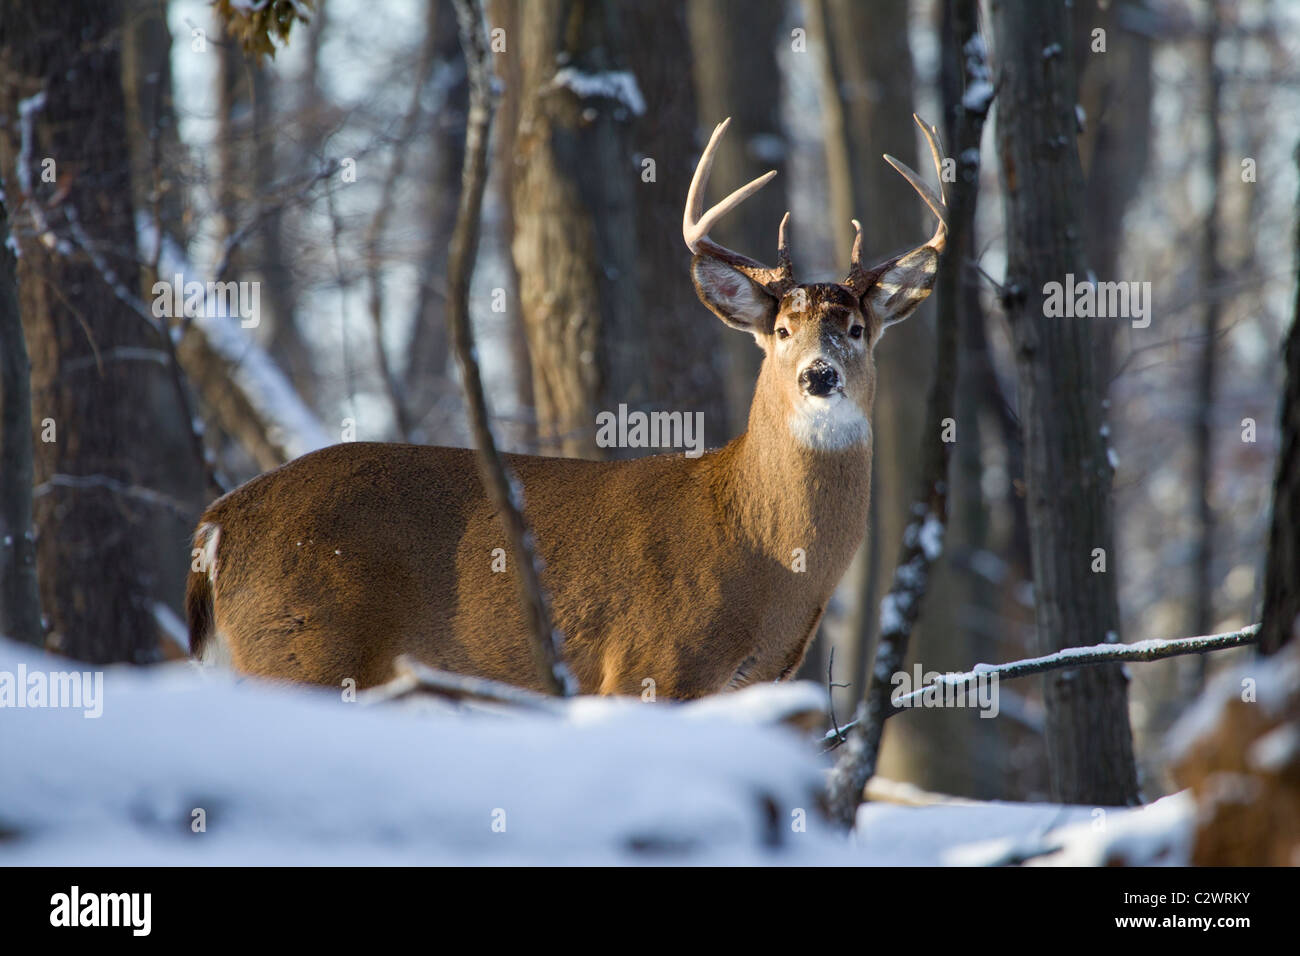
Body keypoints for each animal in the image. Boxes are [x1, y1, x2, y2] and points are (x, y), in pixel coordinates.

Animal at [185, 115, 946, 697]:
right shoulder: (646, 665)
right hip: (301, 651)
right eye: (782, 330)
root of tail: (216, 524)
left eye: (856, 329)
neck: (758, 549)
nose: (820, 376)